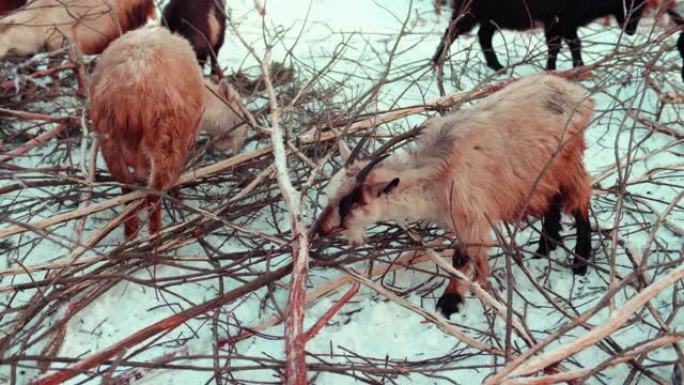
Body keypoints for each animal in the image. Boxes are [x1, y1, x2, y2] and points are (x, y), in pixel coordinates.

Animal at [90, 27, 206, 238]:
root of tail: (131, 97)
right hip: (166, 143)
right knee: (154, 196)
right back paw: (155, 239)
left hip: (109, 143)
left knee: (127, 190)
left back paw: (131, 237)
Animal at [314, 74, 592, 318]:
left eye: (351, 201)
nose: (321, 228)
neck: (440, 172)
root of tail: (577, 94)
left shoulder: (472, 216)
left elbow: (462, 259)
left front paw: (449, 303)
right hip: (543, 175)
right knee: (553, 202)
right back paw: (545, 248)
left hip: (568, 161)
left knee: (580, 201)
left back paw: (581, 264)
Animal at [432, 0, 648, 71]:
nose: (631, 30)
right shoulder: (560, 20)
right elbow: (569, 43)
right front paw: (575, 68)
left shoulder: (560, 22)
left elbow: (560, 45)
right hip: (472, 11)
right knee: (452, 31)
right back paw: (436, 62)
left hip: (493, 16)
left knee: (483, 35)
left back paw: (497, 66)